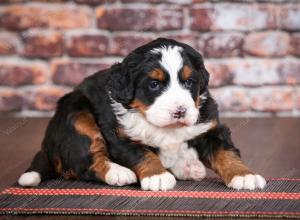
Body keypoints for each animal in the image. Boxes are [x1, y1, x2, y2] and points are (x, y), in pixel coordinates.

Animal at [17, 37, 266, 191]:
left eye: (189, 82)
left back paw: (189, 167)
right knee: (85, 162)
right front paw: (157, 176)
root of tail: (46, 144)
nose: (180, 111)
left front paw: (244, 175)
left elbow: (226, 152)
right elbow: (142, 154)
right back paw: (119, 173)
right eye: (154, 84)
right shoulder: (120, 135)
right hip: (77, 116)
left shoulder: (209, 126)